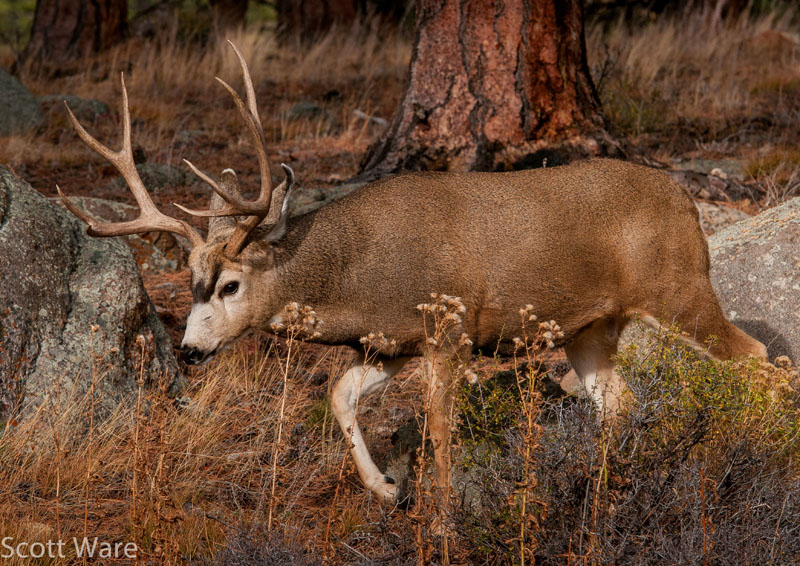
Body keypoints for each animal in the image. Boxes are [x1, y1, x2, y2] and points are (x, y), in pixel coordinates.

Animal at [58, 42, 768, 504]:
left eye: (231, 285)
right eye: (192, 284)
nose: (189, 349)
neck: (359, 272)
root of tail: (685, 200)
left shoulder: (449, 330)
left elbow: (441, 432)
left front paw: (445, 520)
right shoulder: (389, 343)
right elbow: (338, 395)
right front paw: (386, 488)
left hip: (680, 288)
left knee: (757, 356)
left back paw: (757, 452)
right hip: (590, 328)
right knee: (619, 402)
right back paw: (603, 491)